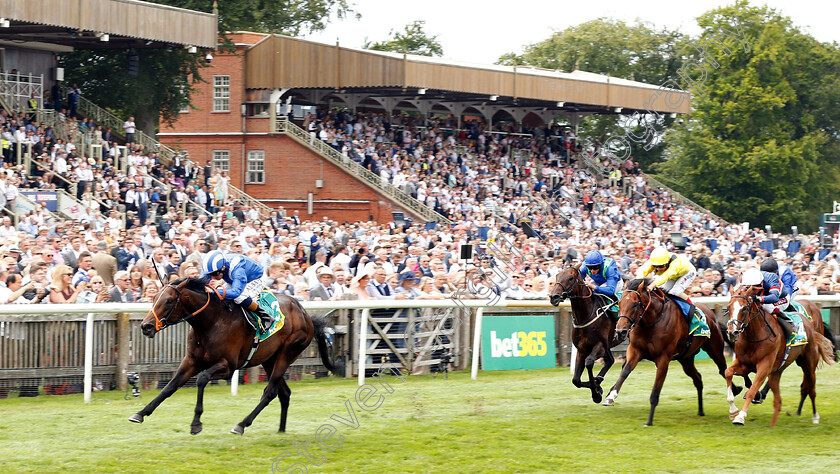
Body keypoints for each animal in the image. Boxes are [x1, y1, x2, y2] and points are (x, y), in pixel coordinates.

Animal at [126, 280, 334, 436]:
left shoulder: (228, 366)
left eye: (169, 300)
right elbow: (170, 386)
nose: (146, 326)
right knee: (284, 393)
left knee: (270, 392)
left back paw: (241, 425)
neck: (211, 322)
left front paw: (196, 423)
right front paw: (140, 413)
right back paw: (281, 431)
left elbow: (202, 379)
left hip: (287, 353)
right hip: (269, 360)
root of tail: (306, 314)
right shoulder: (191, 361)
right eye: (154, 297)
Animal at [548, 264, 620, 402]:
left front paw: (596, 393)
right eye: (557, 276)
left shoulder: (600, 346)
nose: (554, 297)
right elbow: (576, 380)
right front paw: (597, 387)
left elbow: (589, 363)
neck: (585, 315)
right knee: (610, 360)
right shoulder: (582, 349)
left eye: (571, 278)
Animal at [604, 278, 736, 426]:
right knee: (698, 379)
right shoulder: (635, 350)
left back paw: (736, 393)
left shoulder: (663, 359)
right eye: (619, 303)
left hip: (715, 350)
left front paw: (649, 421)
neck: (652, 321)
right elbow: (625, 371)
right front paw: (610, 396)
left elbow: (655, 391)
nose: (620, 332)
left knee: (723, 371)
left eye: (635, 304)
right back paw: (701, 411)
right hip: (686, 359)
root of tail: (714, 318)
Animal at [720, 286, 832, 426]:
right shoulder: (744, 364)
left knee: (810, 388)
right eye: (728, 307)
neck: (754, 336)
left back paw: (815, 416)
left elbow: (752, 390)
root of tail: (809, 323)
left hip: (808, 365)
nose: (732, 332)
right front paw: (733, 410)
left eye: (744, 308)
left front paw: (740, 416)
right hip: (782, 366)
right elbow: (728, 372)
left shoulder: (764, 365)